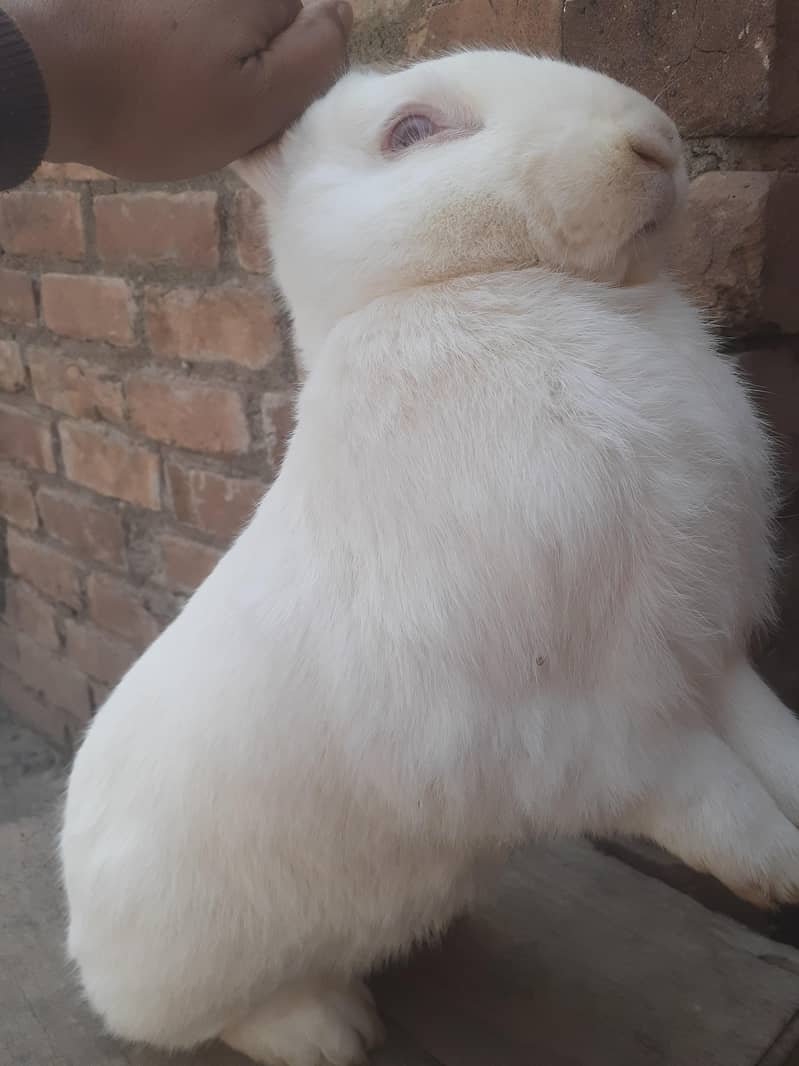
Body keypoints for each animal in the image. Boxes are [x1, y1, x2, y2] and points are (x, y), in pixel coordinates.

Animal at [60, 48, 799, 1066]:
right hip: (194, 972)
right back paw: (329, 1033)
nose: (654, 140)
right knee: (208, 1018)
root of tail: (81, 928)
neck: (466, 281)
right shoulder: (578, 721)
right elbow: (705, 795)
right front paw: (778, 872)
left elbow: (772, 743)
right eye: (410, 131)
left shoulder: (705, 655)